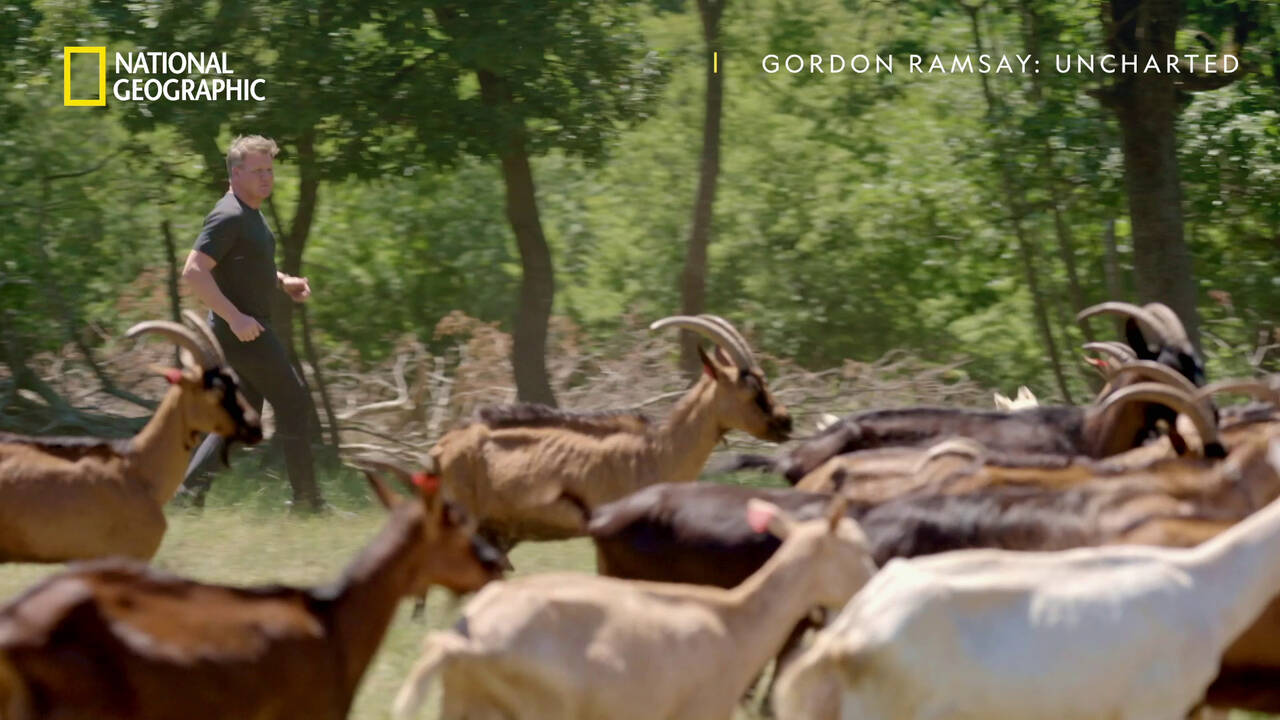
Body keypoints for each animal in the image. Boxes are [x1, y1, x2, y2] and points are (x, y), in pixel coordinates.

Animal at [394, 491, 875, 717]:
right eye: (858, 549)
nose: (877, 582)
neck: (734, 619)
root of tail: (458, 643)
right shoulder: (700, 711)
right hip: (539, 710)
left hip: (465, 706)